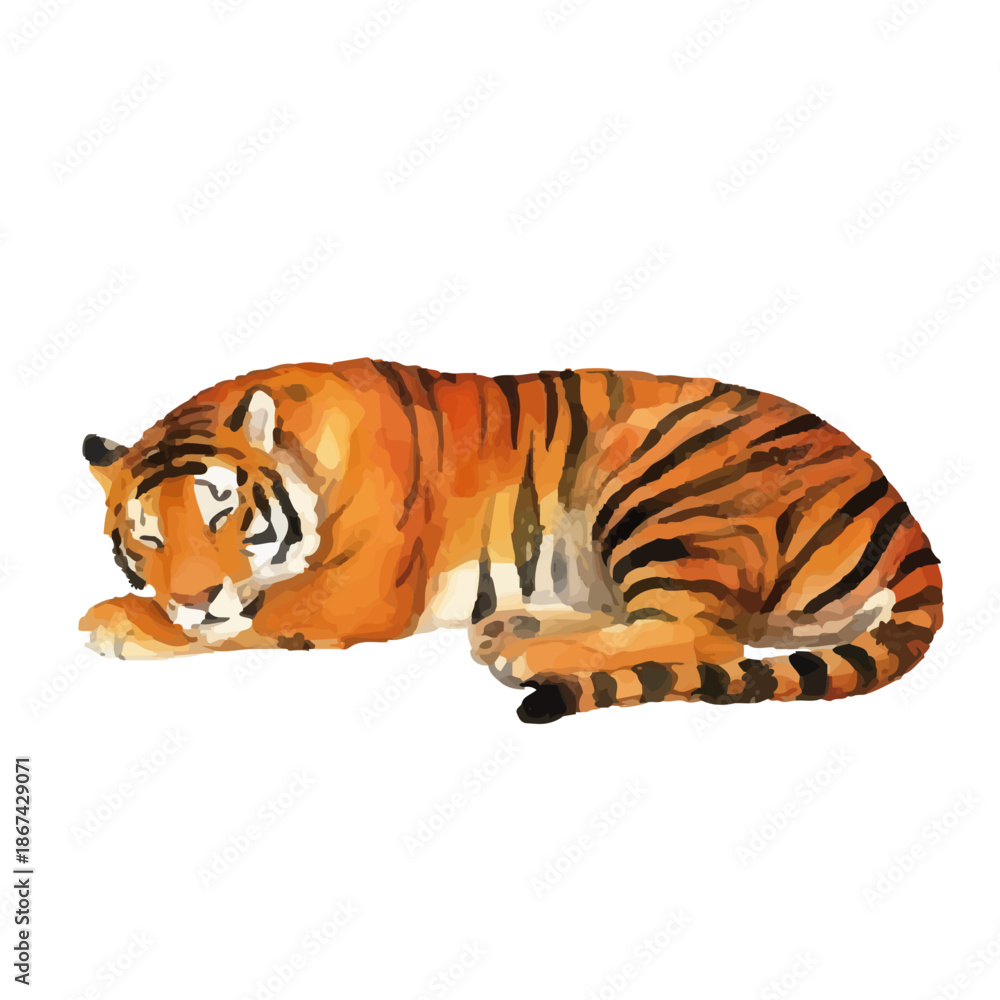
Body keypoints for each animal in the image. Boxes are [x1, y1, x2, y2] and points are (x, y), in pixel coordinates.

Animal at [80, 359, 942, 724]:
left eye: (221, 513)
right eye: (146, 536)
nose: (194, 594)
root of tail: (903, 517)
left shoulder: (349, 596)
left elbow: (246, 620)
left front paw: (115, 620)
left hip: (661, 488)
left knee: (703, 635)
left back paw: (529, 651)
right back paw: (511, 627)